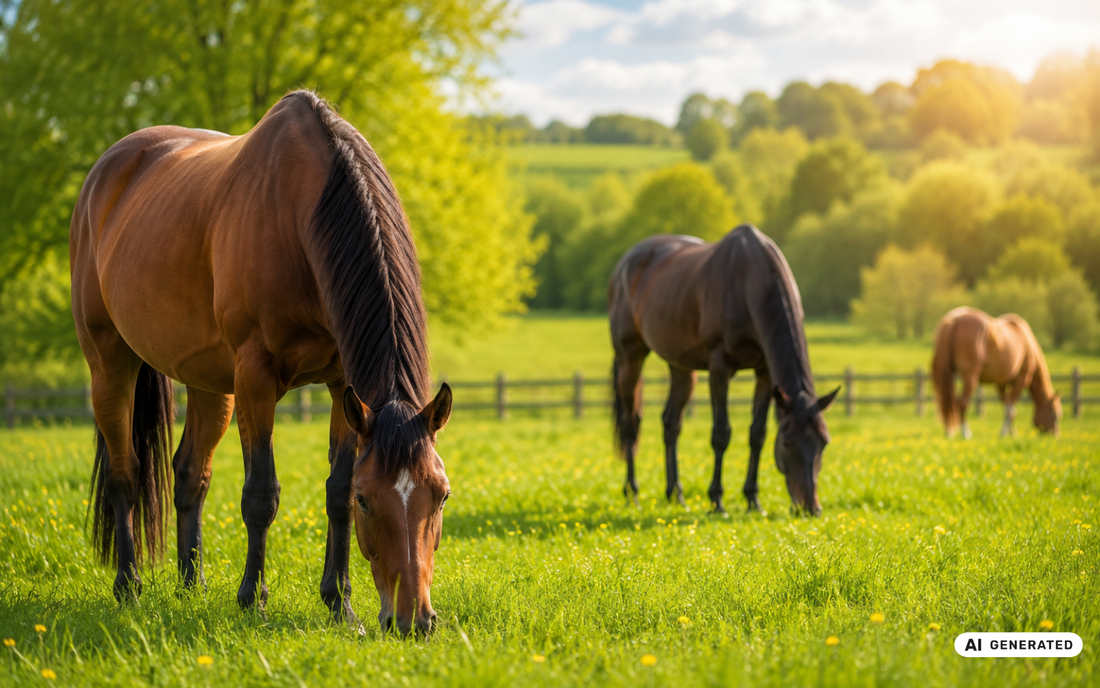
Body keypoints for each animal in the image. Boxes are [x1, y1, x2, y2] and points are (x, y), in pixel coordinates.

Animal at [70, 90, 452, 636]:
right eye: (369, 499)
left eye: (440, 495)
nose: (413, 621)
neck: (298, 215)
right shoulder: (256, 378)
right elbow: (261, 495)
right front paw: (253, 599)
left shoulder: (343, 387)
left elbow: (333, 491)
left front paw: (340, 605)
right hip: (110, 365)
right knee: (126, 474)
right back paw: (129, 586)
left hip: (211, 384)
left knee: (189, 473)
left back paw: (191, 585)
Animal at [609, 225, 839, 515]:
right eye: (787, 442)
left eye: (824, 442)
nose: (810, 508)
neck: (748, 280)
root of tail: (624, 264)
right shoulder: (719, 368)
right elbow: (721, 433)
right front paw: (717, 500)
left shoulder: (765, 373)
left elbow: (757, 434)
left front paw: (753, 500)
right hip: (630, 356)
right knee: (631, 423)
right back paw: (633, 493)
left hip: (681, 366)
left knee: (671, 423)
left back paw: (676, 494)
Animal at [931, 307, 1061, 439]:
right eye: (1056, 415)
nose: (1055, 435)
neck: (1028, 344)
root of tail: (954, 320)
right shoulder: (1021, 379)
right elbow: (1011, 409)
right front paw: (1007, 434)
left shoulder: (1001, 384)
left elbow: (1007, 408)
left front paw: (1010, 432)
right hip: (970, 377)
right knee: (962, 402)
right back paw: (966, 433)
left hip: (948, 375)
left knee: (948, 402)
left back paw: (949, 433)